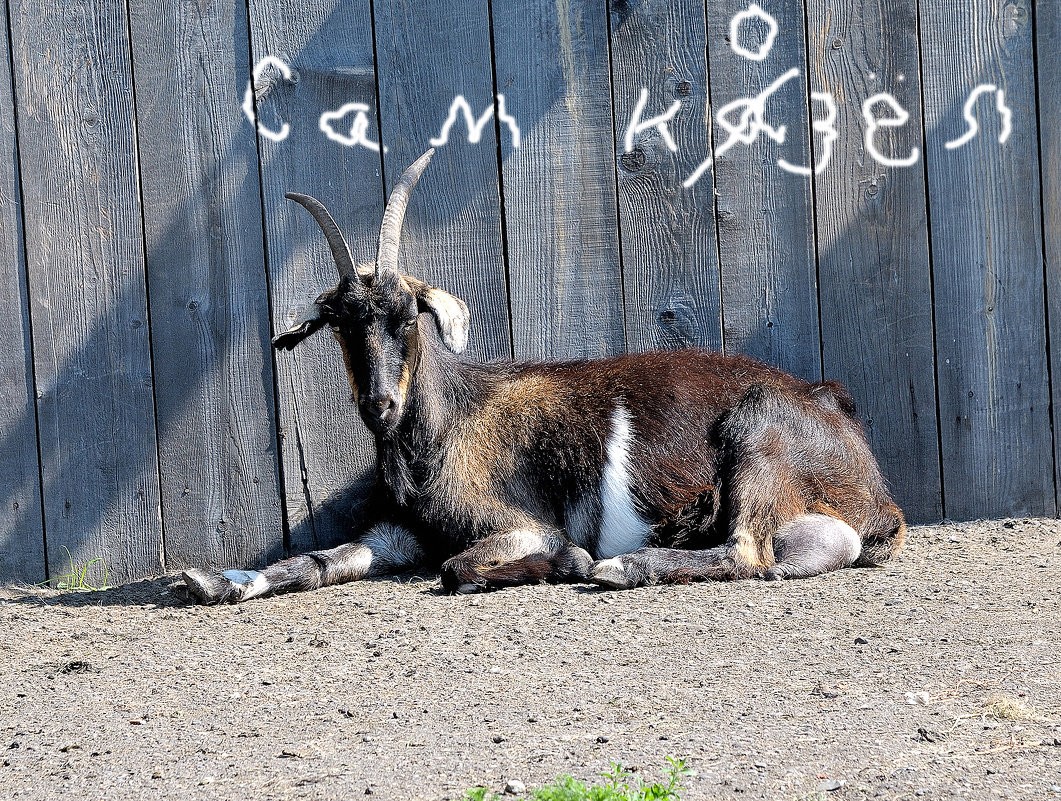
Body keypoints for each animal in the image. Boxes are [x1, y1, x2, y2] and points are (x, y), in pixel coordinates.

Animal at [180, 147, 903, 602]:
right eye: (338, 324)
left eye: (408, 316)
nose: (380, 404)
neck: (445, 427)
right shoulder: (400, 531)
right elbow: (321, 560)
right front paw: (215, 581)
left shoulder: (523, 522)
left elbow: (458, 566)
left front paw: (569, 561)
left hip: (756, 439)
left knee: (748, 553)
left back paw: (620, 566)